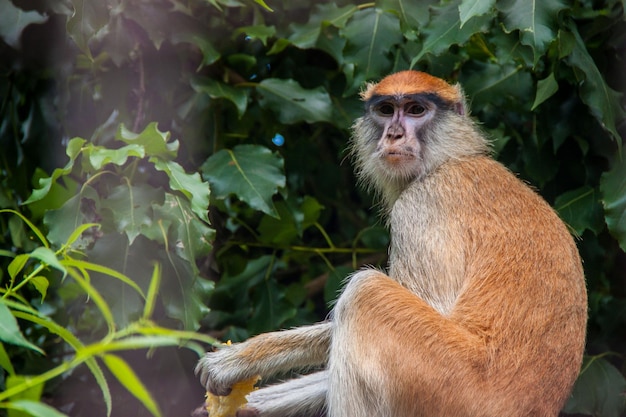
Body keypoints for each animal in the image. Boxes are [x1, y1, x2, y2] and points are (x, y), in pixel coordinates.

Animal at [195, 70, 584, 416]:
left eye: (415, 109)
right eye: (385, 110)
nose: (394, 134)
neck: (450, 159)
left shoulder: (422, 205)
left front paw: (235, 361)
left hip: (447, 387)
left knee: (365, 292)